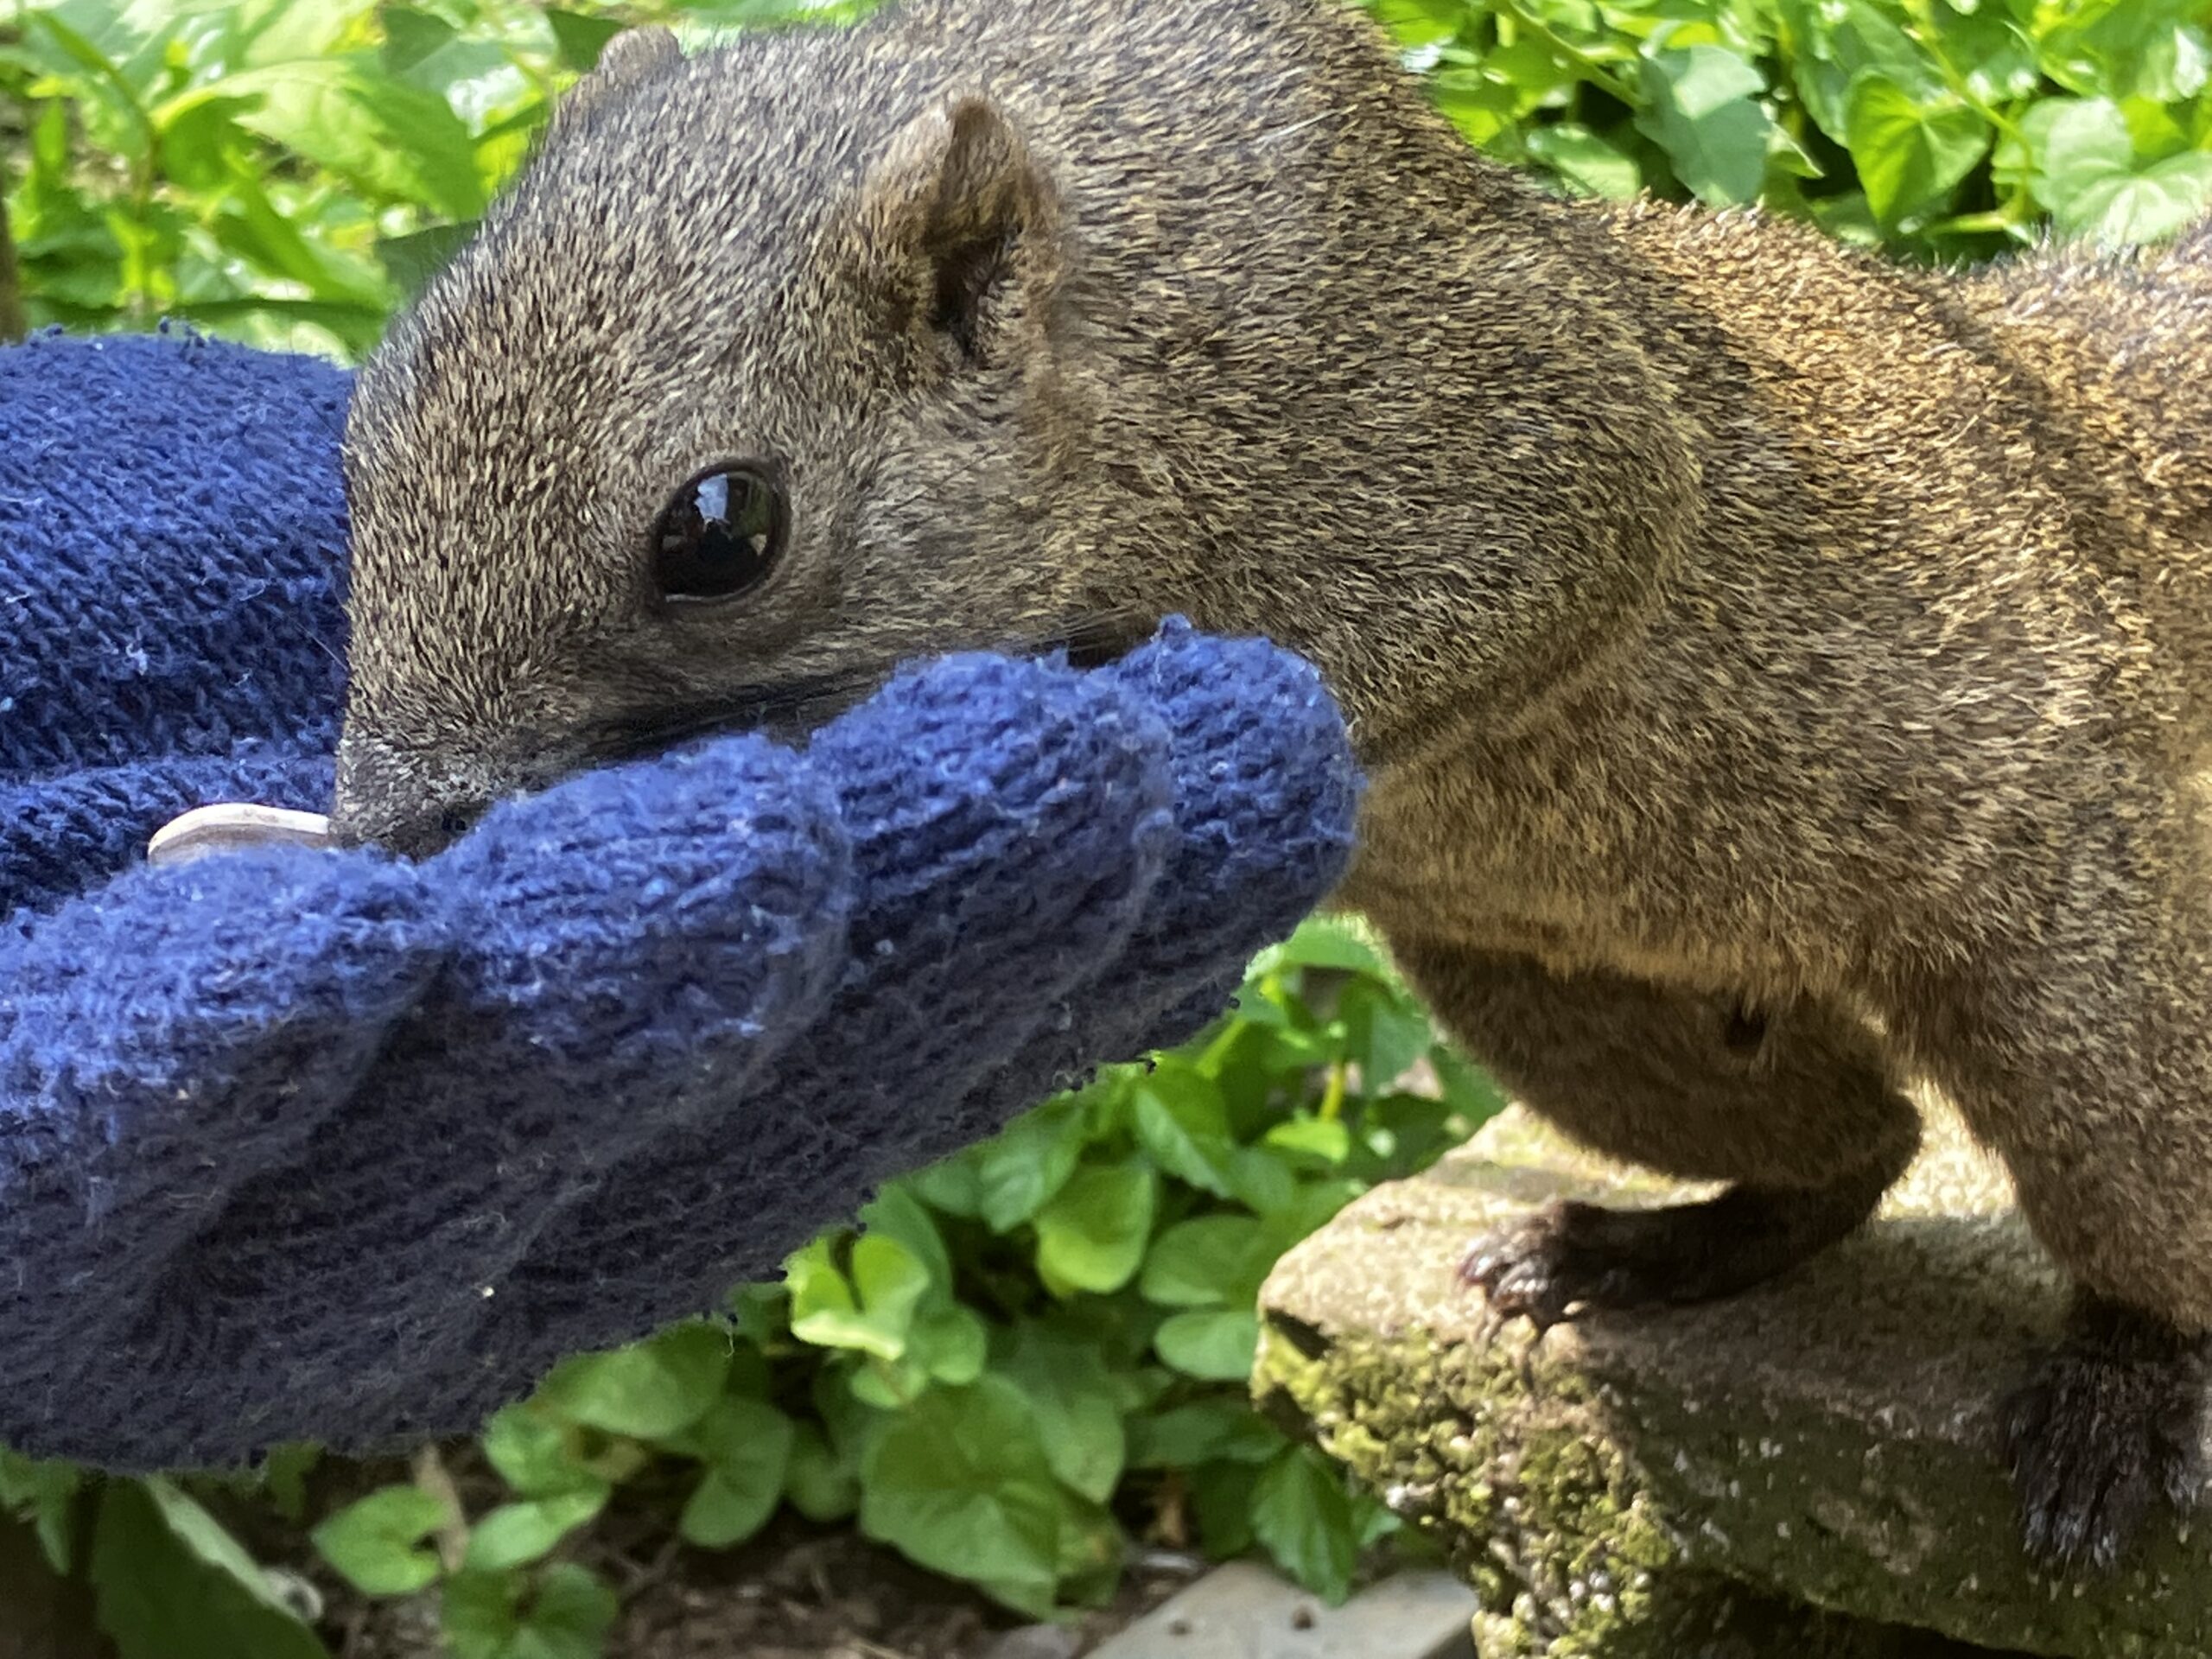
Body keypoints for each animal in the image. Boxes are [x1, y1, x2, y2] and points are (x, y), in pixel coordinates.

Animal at [327, 0, 2212, 1574]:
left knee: (2125, 1181)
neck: (1139, 323)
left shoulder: (1516, 433)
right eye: (363, 436)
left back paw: (2118, 1393)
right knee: (1856, 1148)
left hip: (2085, 981)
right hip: (1579, 1016)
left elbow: (1580, 547)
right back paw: (1642, 1254)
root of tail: (2081, 455)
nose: (387, 829)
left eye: (720, 529)